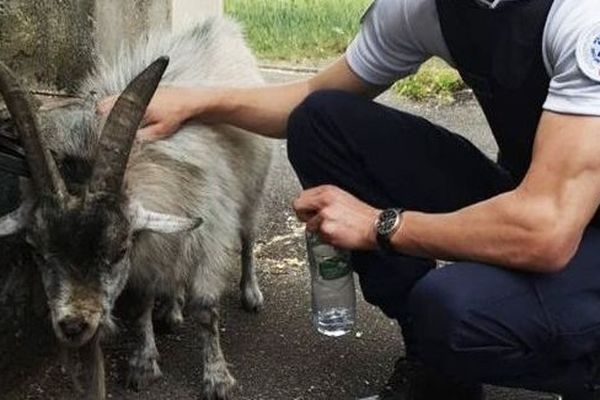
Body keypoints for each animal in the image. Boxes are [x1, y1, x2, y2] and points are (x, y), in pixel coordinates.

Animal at [0, 16, 274, 400]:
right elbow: (142, 303)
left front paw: (217, 378)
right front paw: (144, 363)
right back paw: (172, 308)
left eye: (118, 250)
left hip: (252, 191)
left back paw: (250, 293)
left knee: (248, 239)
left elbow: (206, 308)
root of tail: (221, 27)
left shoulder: (208, 235)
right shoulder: (149, 249)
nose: (74, 327)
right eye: (37, 252)